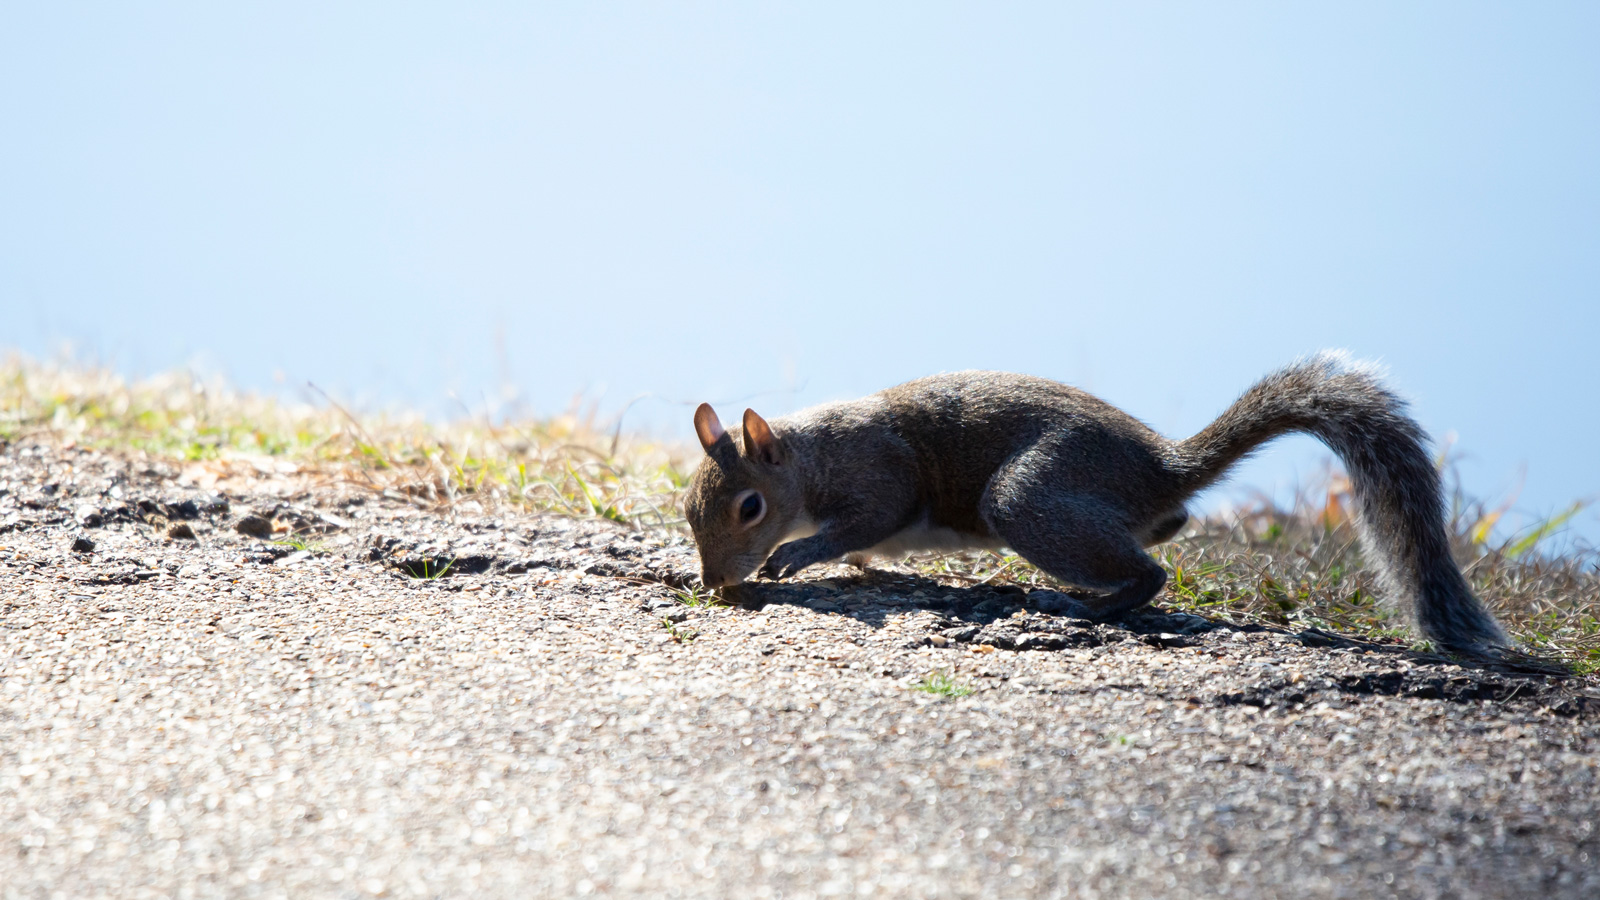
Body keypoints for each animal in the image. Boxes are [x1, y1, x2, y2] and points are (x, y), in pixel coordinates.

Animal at [683, 352, 1510, 656]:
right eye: (691, 511)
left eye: (749, 508)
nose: (714, 583)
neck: (811, 453)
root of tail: (1165, 468)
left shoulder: (879, 474)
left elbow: (863, 523)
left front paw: (799, 555)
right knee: (1167, 531)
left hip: (1028, 500)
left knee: (1150, 575)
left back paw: (1082, 606)